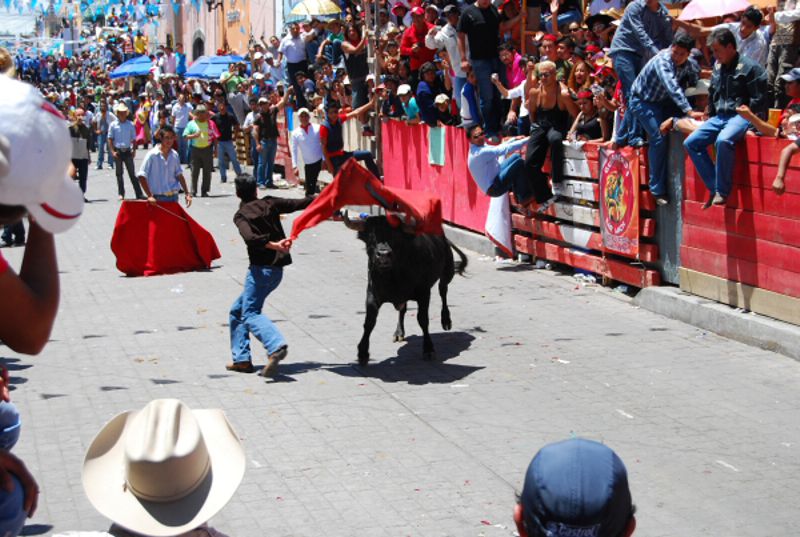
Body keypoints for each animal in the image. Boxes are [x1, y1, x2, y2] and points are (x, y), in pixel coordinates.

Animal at [343, 212, 468, 365]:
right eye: (371, 235)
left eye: (396, 235)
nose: (383, 254)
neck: (393, 276)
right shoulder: (372, 294)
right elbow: (369, 322)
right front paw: (363, 352)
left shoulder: (424, 293)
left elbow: (423, 320)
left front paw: (428, 349)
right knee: (403, 310)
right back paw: (399, 333)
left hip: (447, 273)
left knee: (443, 291)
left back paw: (446, 321)